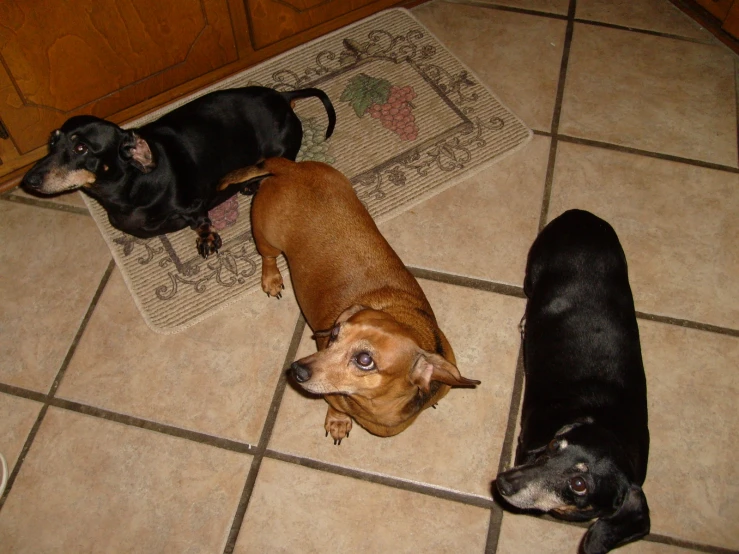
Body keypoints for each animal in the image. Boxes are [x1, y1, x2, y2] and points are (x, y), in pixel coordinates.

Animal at [21, 85, 336, 258]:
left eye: (81, 148)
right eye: (52, 141)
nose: (29, 180)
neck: (132, 186)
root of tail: (283, 96)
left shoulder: (193, 205)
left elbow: (200, 221)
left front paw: (207, 239)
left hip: (278, 149)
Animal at [220, 157, 482, 442]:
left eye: (365, 360)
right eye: (335, 334)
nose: (297, 369)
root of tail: (291, 168)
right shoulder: (333, 398)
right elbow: (338, 409)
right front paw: (338, 422)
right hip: (267, 239)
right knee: (268, 257)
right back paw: (271, 279)